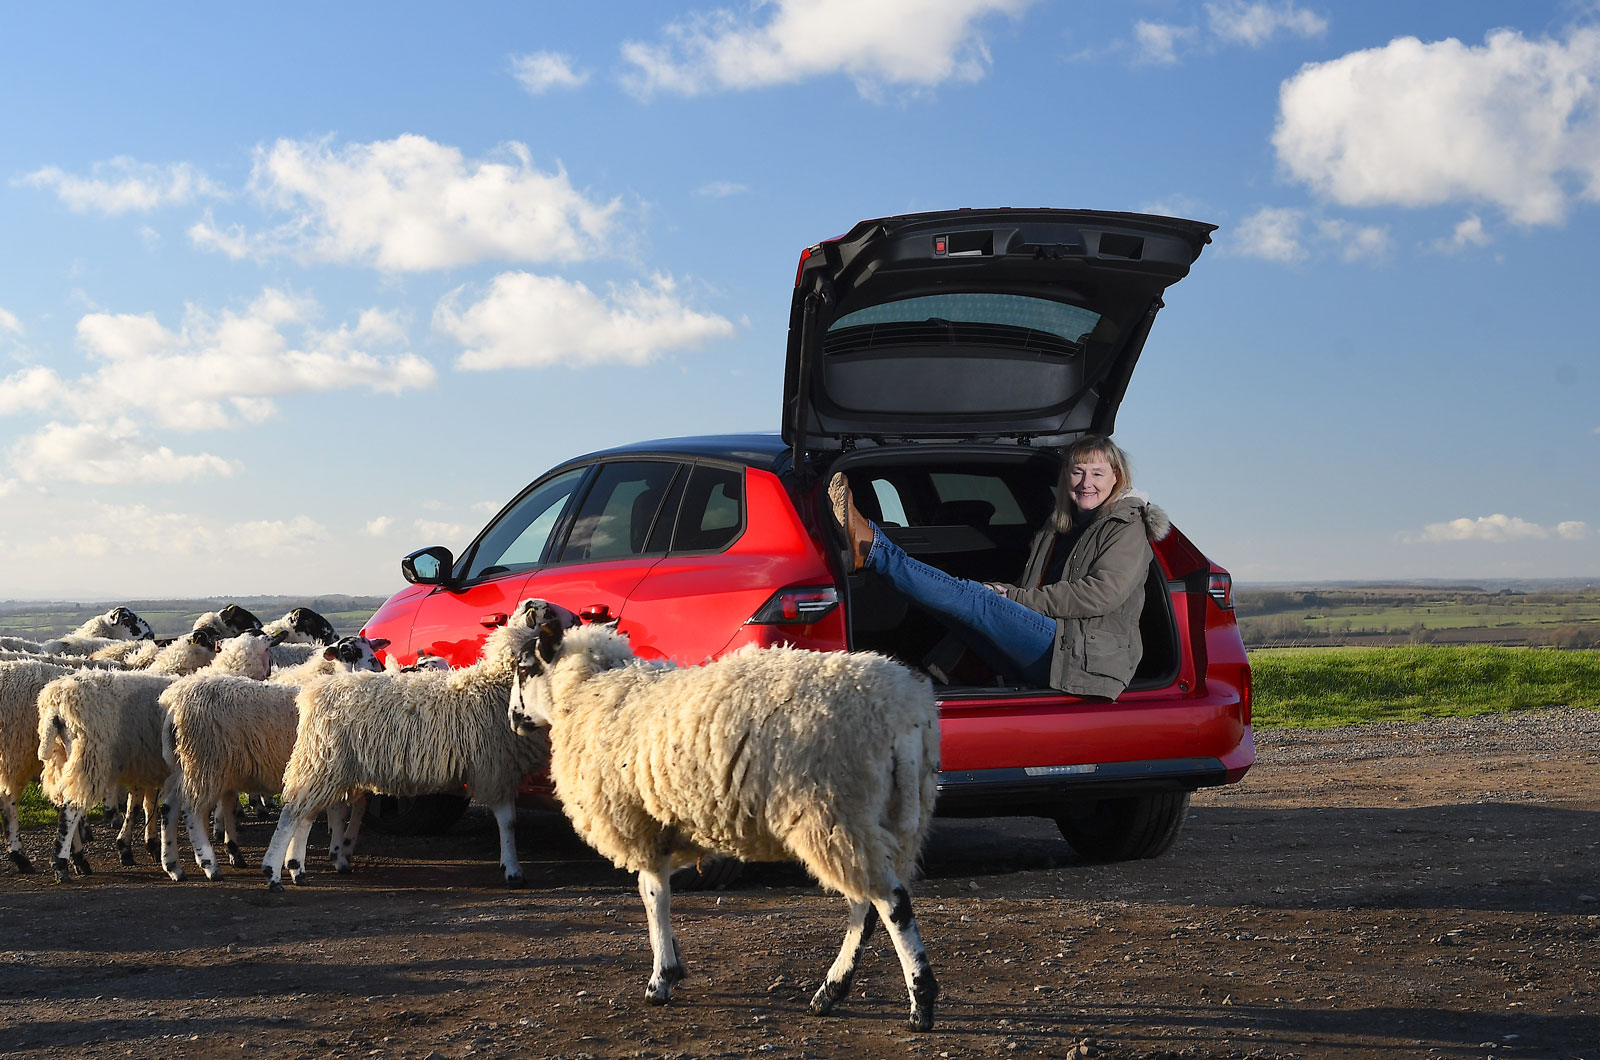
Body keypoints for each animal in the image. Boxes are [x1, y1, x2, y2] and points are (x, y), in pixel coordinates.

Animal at [34, 627, 267, 881]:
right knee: (71, 809)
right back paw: (62, 864)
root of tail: (55, 701)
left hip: (61, 757)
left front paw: (144, 846)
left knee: (63, 802)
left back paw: (78, 859)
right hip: (91, 757)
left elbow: (145, 805)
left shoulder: (150, 765)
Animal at [155, 636, 391, 881]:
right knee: (191, 810)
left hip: (187, 765)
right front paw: (336, 854)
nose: (375, 666)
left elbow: (341, 810)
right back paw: (209, 865)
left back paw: (173, 865)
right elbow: (336, 810)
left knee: (169, 807)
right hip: (206, 763)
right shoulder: (325, 766)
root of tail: (173, 703)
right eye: (348, 651)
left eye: (371, 649)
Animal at [259, 623, 550, 890]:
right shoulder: (495, 766)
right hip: (323, 761)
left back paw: (296, 867)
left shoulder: (499, 766)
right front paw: (512, 869)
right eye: (347, 651)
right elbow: (507, 822)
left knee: (305, 813)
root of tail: (315, 692)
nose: (373, 664)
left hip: (329, 766)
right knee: (291, 813)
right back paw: (273, 872)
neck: (492, 683)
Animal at [505, 599, 943, 1031]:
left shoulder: (639, 822)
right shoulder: (665, 825)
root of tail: (903, 714)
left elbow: (653, 895)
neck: (589, 691)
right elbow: (656, 892)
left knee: (891, 903)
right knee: (865, 907)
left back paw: (920, 1004)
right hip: (884, 818)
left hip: (835, 811)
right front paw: (674, 964)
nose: (512, 718)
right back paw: (829, 994)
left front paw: (660, 979)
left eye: (524, 668)